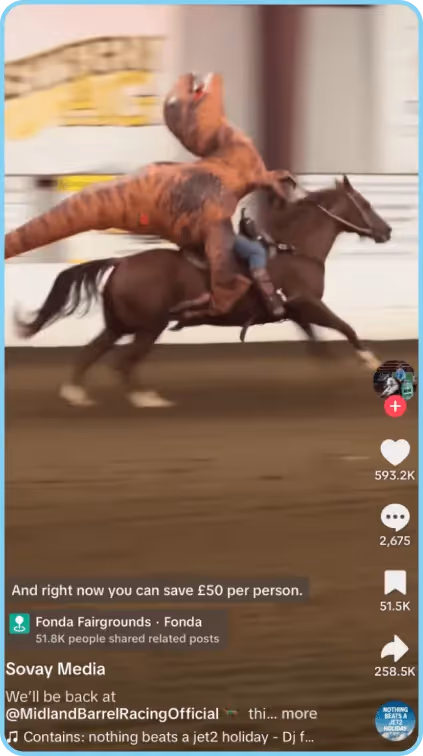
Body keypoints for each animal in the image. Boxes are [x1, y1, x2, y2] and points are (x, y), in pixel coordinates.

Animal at [14, 175, 392, 408]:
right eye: (365, 204)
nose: (386, 230)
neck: (294, 249)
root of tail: (120, 264)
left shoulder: (296, 310)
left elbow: (318, 343)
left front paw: (333, 374)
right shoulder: (310, 303)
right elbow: (345, 327)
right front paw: (369, 361)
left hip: (118, 324)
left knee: (91, 352)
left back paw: (76, 394)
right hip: (149, 326)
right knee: (124, 361)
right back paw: (146, 398)